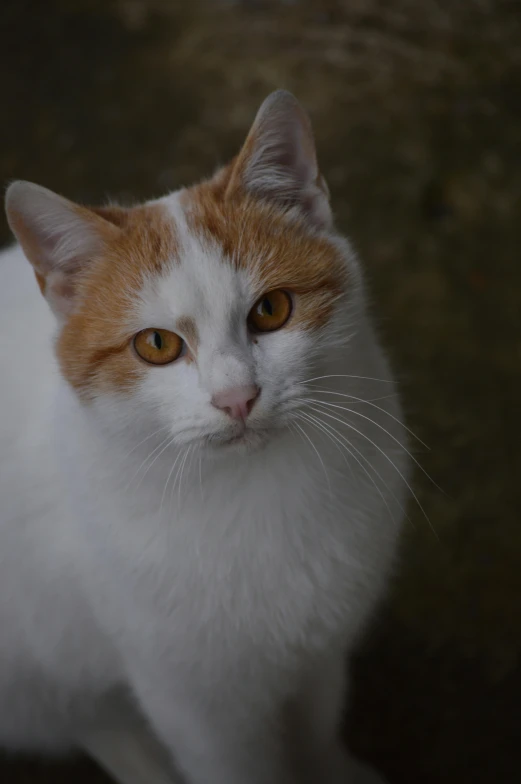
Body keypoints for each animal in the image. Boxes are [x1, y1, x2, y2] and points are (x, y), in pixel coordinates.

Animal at [0, 92, 406, 784]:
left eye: (271, 310)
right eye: (157, 345)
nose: (236, 397)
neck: (252, 491)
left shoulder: (320, 650)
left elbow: (316, 725)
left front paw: (332, 768)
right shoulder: (196, 707)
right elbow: (238, 766)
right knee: (78, 715)